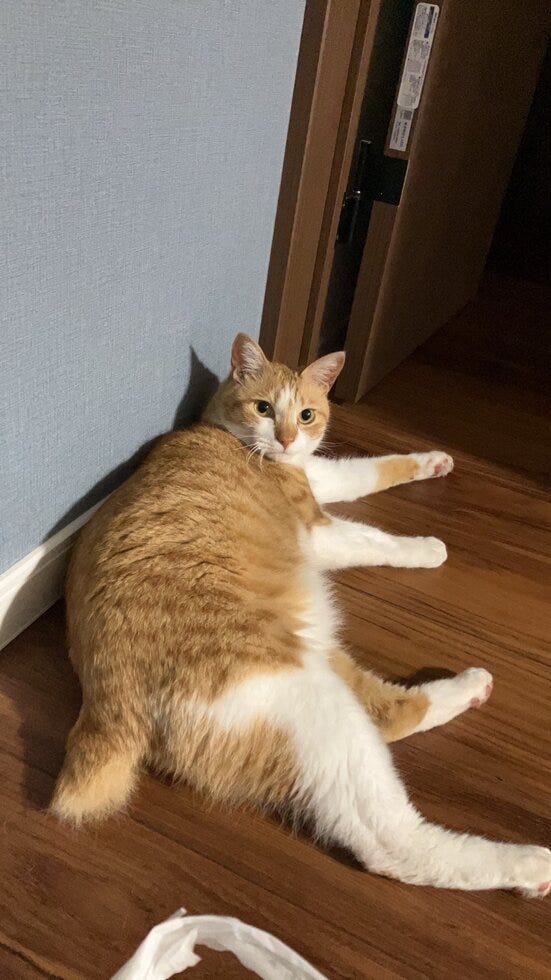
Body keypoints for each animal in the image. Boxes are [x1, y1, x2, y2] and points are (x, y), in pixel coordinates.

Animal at [52, 333, 551, 897]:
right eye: (264, 408)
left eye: (308, 414)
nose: (289, 439)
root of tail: (107, 707)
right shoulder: (318, 531)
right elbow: (374, 538)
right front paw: (429, 548)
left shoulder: (320, 472)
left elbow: (370, 467)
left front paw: (433, 461)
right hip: (311, 700)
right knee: (392, 808)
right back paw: (526, 860)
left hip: (320, 666)